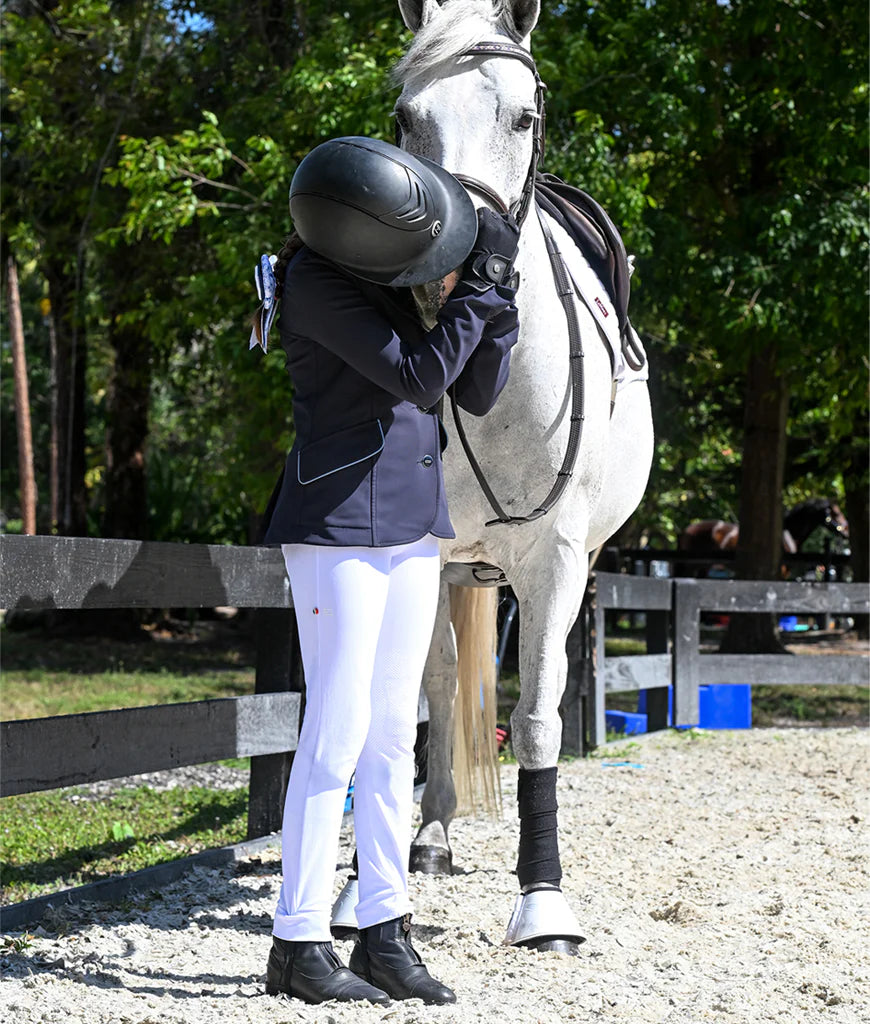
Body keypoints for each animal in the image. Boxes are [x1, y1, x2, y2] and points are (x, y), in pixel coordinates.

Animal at [331, 0, 654, 955]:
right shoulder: (409, 556)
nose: (445, 269)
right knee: (438, 692)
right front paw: (368, 881)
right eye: (405, 118)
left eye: (523, 116)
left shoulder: (555, 565)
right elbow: (406, 709)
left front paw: (543, 901)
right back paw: (431, 835)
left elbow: (541, 720)